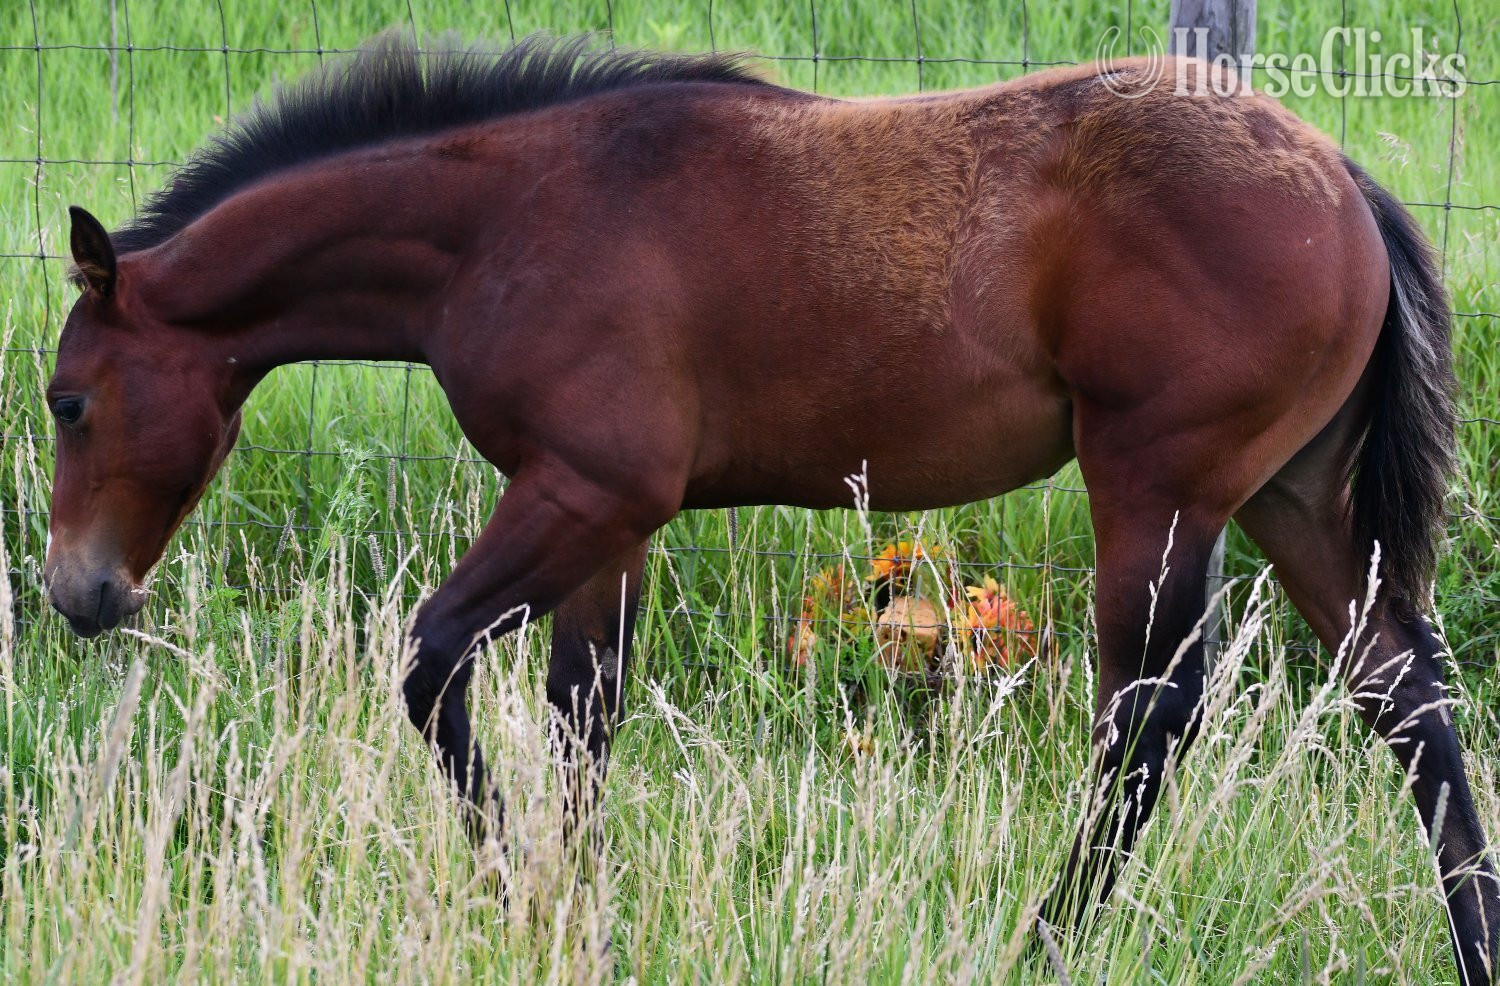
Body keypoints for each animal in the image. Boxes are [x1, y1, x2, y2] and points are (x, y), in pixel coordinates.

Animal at [41, 34, 1496, 981]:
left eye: (67, 400)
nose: (80, 591)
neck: (508, 219)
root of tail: (1345, 181)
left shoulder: (581, 490)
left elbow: (430, 660)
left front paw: (519, 896)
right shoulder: (609, 523)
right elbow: (581, 718)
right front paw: (581, 919)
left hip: (1158, 490)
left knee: (1147, 717)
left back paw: (1044, 940)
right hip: (1293, 502)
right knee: (1406, 696)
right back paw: (1472, 937)